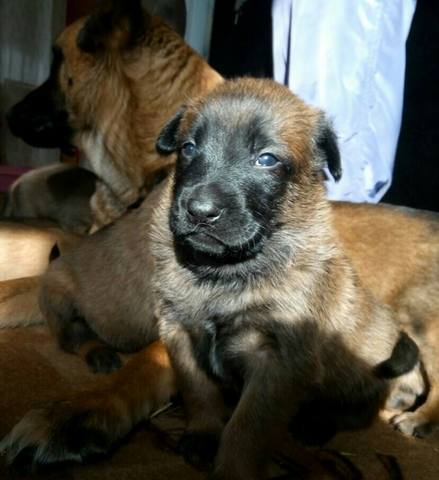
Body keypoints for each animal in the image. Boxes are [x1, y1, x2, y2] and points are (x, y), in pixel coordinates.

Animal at [1, 79, 438, 476]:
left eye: (266, 159)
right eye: (189, 148)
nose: (198, 211)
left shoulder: (271, 356)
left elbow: (240, 424)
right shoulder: (176, 328)